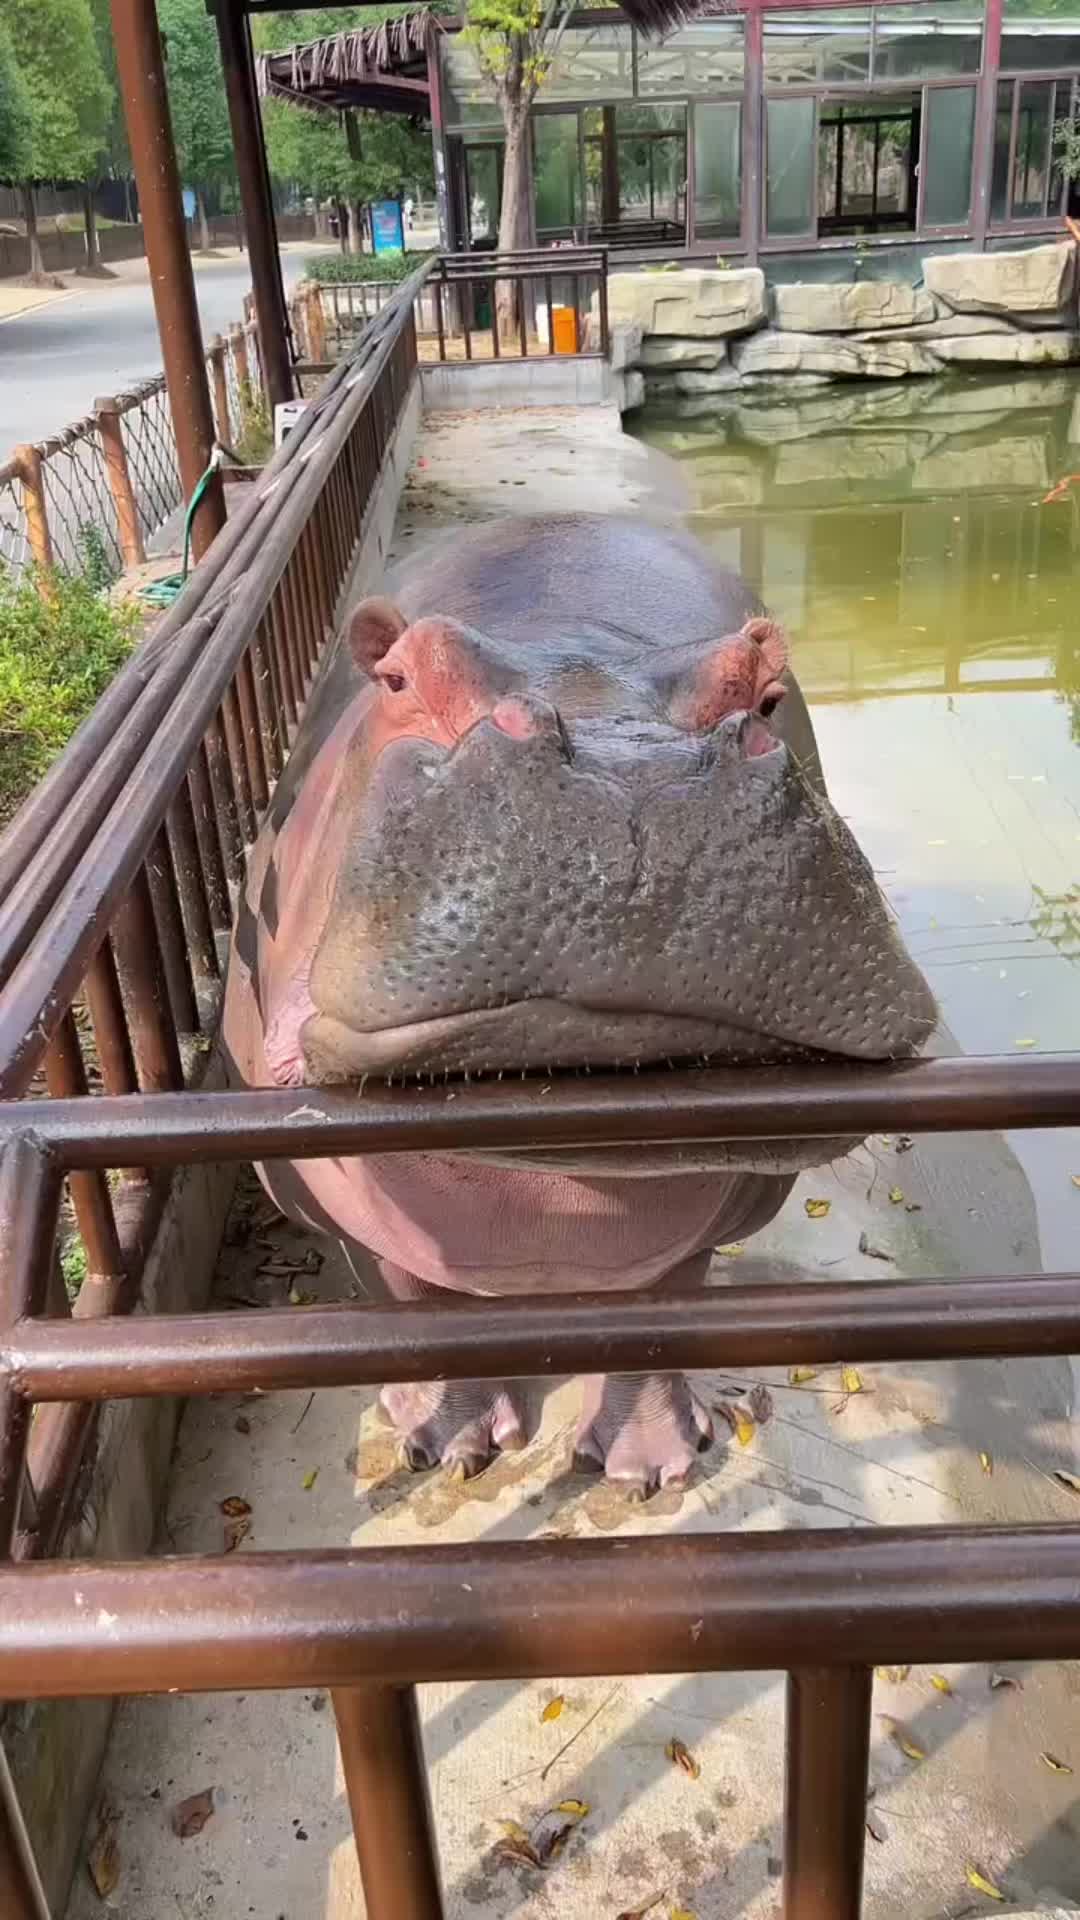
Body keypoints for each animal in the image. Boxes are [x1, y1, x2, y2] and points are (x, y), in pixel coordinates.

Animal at [223, 514, 936, 1494]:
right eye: (398, 677)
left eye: (766, 695)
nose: (635, 774)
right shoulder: (328, 1205)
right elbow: (411, 1301)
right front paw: (446, 1446)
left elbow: (662, 1304)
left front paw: (648, 1468)